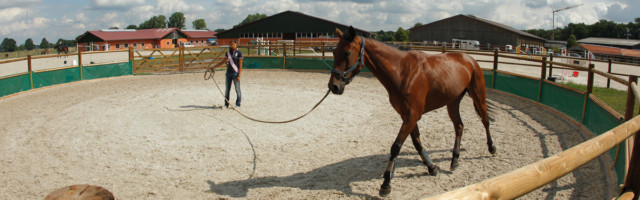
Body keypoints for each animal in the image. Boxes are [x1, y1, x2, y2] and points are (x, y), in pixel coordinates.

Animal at [328, 25, 498, 196]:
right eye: (334, 52)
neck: (403, 71)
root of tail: (469, 59)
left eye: (347, 53)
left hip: (478, 96)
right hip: (452, 103)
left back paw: (491, 148)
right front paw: (432, 167)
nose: (334, 86)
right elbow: (416, 142)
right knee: (459, 126)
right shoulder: (406, 115)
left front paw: (386, 183)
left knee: (485, 121)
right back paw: (455, 159)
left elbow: (396, 147)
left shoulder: (412, 115)